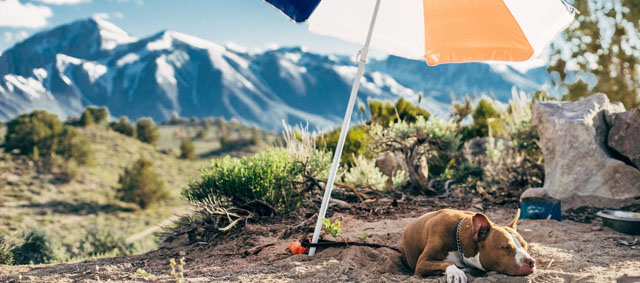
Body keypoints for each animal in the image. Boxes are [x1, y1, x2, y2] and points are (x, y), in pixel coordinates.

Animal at [400, 210, 536, 282]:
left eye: (525, 246)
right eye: (506, 247)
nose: (531, 262)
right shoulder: (422, 262)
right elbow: (447, 262)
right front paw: (456, 272)